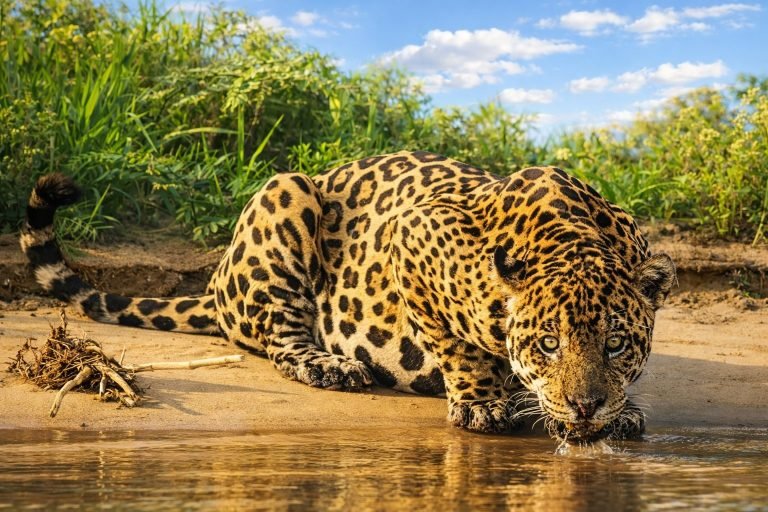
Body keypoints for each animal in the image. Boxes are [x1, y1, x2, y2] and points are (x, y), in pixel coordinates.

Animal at [20, 150, 675, 444]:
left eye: (617, 345)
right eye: (547, 344)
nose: (586, 407)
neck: (574, 238)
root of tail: (216, 283)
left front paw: (618, 412)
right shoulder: (413, 235)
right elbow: (457, 346)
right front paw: (483, 402)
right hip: (284, 194)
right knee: (281, 338)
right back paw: (331, 366)